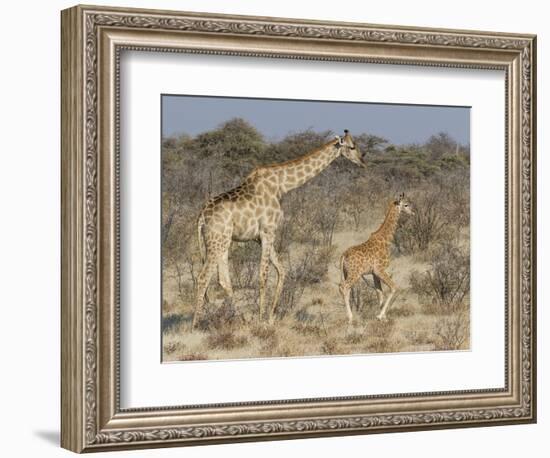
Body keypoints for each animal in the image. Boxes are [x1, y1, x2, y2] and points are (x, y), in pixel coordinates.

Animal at [193, 131, 366, 328]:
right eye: (352, 147)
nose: (363, 161)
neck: (282, 185)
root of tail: (201, 216)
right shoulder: (268, 231)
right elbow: (263, 275)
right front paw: (261, 319)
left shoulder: (260, 237)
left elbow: (282, 271)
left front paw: (270, 317)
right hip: (216, 241)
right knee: (203, 277)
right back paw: (195, 324)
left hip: (223, 241)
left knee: (223, 280)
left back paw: (241, 319)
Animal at [340, 193, 414, 322]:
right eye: (406, 204)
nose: (413, 212)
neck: (386, 240)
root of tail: (344, 255)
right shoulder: (380, 269)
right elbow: (394, 287)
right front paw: (381, 315)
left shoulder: (374, 273)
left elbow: (379, 293)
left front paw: (382, 317)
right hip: (355, 273)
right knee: (344, 287)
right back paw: (350, 318)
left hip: (346, 273)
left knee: (346, 289)